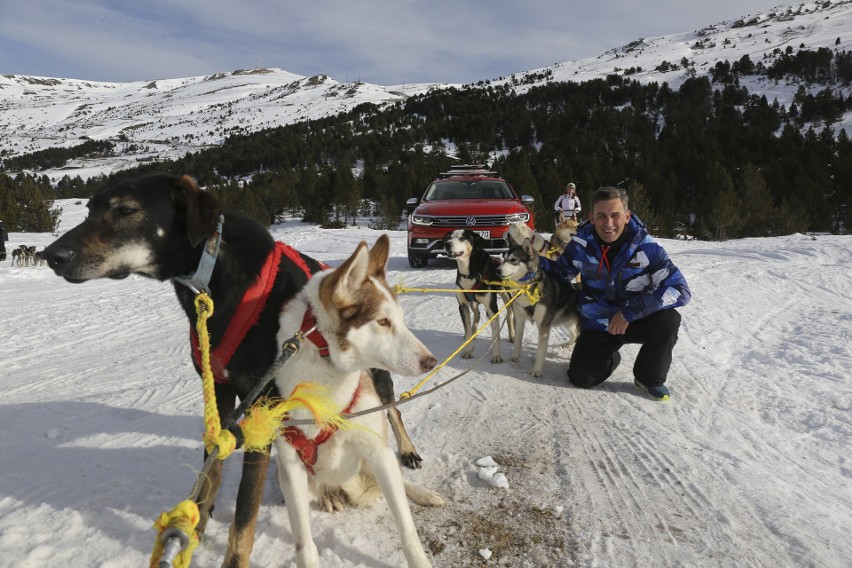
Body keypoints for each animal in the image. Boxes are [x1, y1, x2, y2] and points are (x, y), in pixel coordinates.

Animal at [41, 173, 424, 568]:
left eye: (126, 210)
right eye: (89, 208)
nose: (51, 256)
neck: (216, 284)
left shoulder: (263, 408)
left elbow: (244, 512)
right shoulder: (221, 394)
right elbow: (212, 468)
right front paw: (193, 527)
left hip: (377, 376)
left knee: (392, 411)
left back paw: (406, 450)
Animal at [272, 233, 446, 564]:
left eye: (400, 319)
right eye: (382, 321)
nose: (431, 362)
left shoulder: (377, 451)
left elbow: (408, 531)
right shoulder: (290, 468)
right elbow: (305, 545)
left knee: (398, 479)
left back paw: (423, 493)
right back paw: (329, 496)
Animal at [496, 236, 584, 378]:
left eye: (513, 260)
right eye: (504, 259)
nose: (497, 270)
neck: (527, 287)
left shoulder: (543, 326)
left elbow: (540, 351)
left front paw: (536, 370)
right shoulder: (519, 319)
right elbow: (518, 342)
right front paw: (515, 358)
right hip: (567, 321)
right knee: (574, 334)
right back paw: (567, 344)